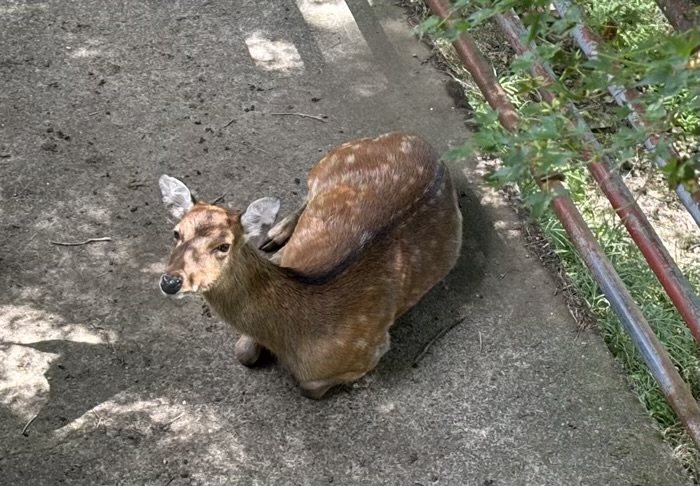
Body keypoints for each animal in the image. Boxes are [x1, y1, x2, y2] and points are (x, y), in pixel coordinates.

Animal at [159, 131, 464, 396]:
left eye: (223, 246)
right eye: (176, 233)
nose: (171, 281)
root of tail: (425, 145)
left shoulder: (370, 351)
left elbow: (309, 386)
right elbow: (243, 352)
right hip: (329, 161)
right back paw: (274, 234)